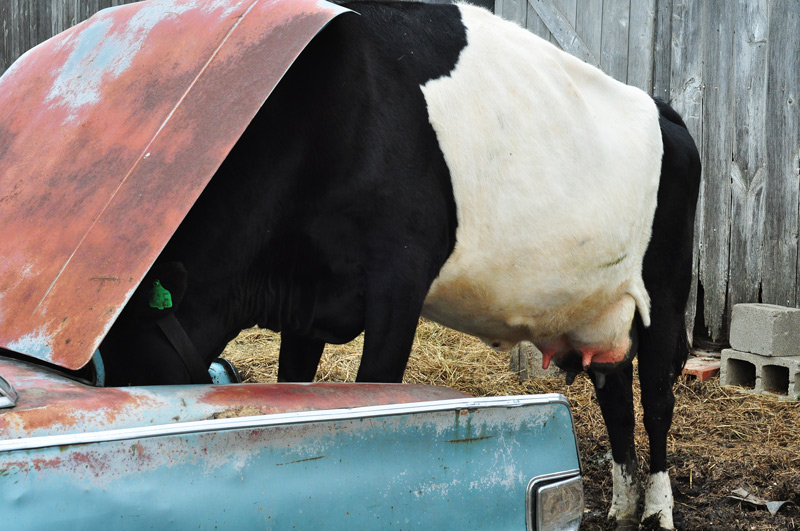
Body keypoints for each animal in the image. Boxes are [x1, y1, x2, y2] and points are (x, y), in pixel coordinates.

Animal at [99, 2, 701, 529]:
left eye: (125, 359)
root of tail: (663, 109)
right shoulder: (306, 298)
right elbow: (295, 381)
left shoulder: (398, 286)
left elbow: (378, 387)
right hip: (601, 310)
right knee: (615, 393)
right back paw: (621, 510)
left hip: (665, 293)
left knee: (657, 400)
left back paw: (658, 511)